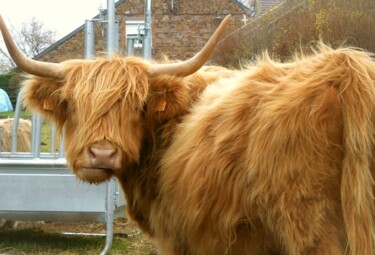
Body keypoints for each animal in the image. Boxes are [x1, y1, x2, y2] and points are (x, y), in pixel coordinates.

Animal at [0, 13, 375, 255]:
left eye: (136, 105)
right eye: (74, 104)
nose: (102, 154)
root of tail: (345, 69)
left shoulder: (180, 236)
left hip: (311, 227)